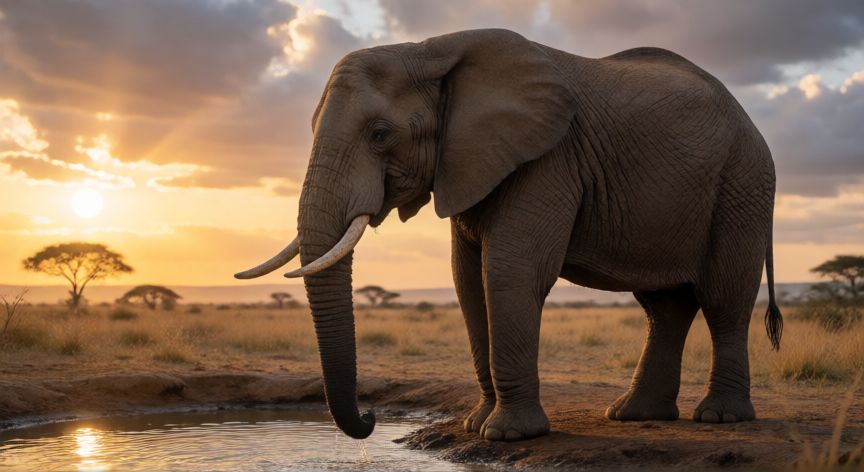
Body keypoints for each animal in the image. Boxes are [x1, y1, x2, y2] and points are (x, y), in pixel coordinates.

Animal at [236, 28, 783, 442]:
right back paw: (633, 415)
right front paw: (475, 424)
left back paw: (720, 418)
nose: (370, 418)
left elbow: (509, 272)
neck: (430, 49)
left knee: (724, 298)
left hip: (743, 182)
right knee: (663, 307)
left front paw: (507, 435)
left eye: (379, 134)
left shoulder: (549, 158)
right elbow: (466, 282)